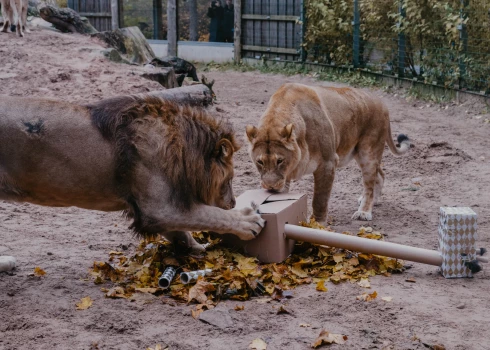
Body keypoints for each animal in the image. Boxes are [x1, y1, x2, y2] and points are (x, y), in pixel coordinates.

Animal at [0, 95, 264, 253]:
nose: (232, 203)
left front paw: (196, 249)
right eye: (229, 180)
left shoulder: (155, 209)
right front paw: (247, 221)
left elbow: (182, 230)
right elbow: (210, 215)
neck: (181, 146)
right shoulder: (158, 208)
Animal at [245, 82, 410, 221]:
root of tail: (382, 102)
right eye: (260, 162)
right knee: (380, 174)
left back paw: (364, 211)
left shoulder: (328, 162)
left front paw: (317, 224)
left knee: (370, 182)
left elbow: (320, 199)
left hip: (368, 152)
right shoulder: (285, 176)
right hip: (359, 153)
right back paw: (372, 201)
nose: (270, 187)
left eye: (279, 161)